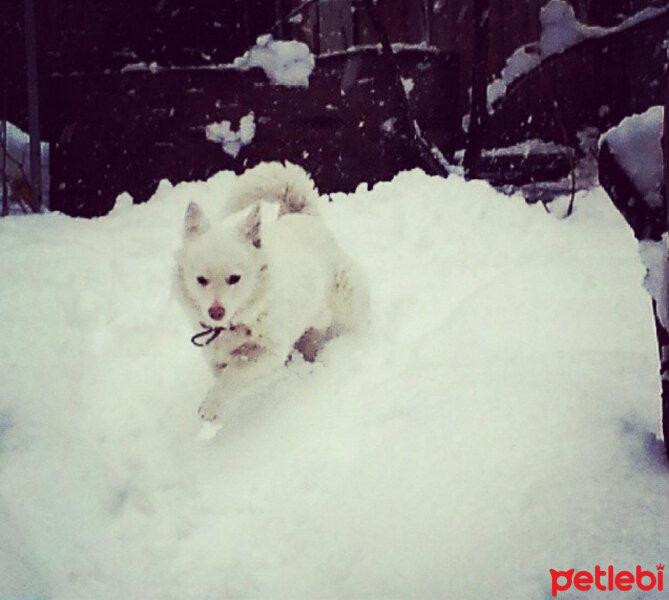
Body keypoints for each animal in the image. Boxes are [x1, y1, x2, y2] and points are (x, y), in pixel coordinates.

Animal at [175, 162, 368, 420]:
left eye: (235, 278)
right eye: (201, 280)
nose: (216, 312)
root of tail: (301, 215)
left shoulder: (269, 353)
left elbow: (233, 375)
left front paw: (211, 407)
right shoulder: (215, 356)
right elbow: (223, 374)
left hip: (345, 295)